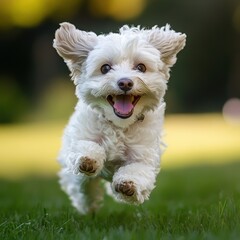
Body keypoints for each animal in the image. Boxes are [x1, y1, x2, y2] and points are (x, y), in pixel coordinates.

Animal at [53, 22, 187, 214]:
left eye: (141, 67)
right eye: (105, 68)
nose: (125, 82)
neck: (119, 125)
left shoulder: (143, 156)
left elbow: (137, 170)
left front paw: (127, 185)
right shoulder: (80, 140)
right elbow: (86, 151)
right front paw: (88, 160)